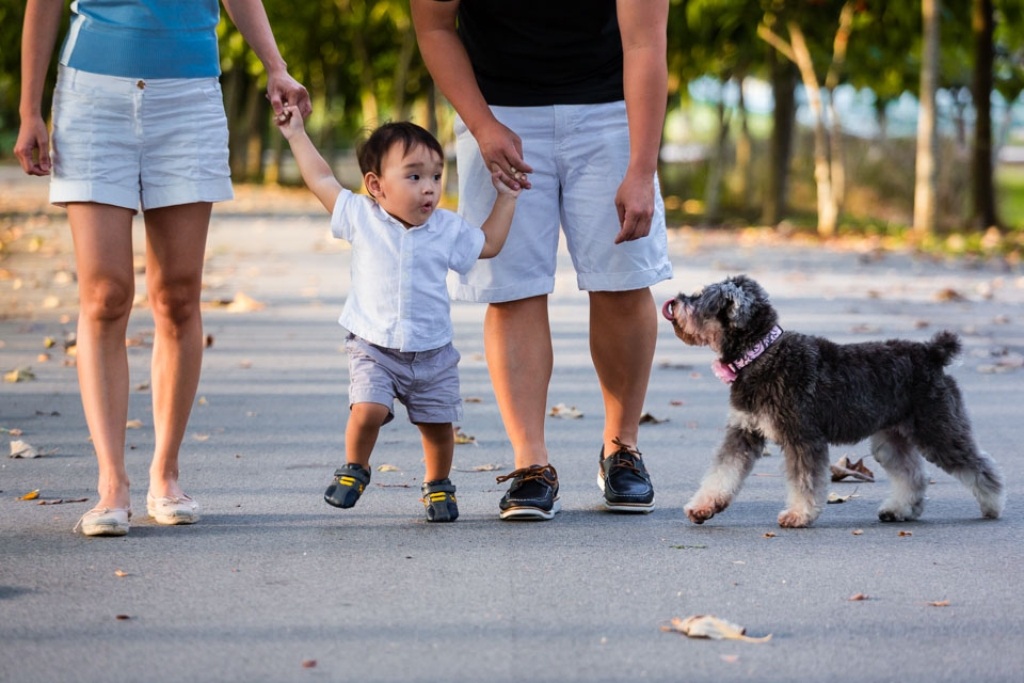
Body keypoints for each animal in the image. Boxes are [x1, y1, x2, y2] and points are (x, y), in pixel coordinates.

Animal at [659, 274, 1003, 528]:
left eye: (703, 298)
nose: (675, 302)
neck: (760, 353)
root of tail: (932, 354)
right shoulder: (743, 433)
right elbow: (722, 472)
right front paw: (703, 507)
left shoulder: (802, 438)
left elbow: (805, 482)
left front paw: (798, 515)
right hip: (891, 439)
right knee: (913, 475)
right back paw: (899, 510)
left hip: (937, 430)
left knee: (977, 465)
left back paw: (993, 505)